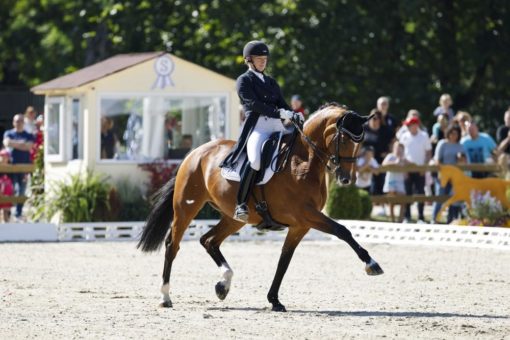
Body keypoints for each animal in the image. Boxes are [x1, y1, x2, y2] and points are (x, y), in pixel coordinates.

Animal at [137, 104, 384, 314]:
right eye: (344, 139)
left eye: (360, 142)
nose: (345, 178)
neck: (303, 162)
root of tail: (194, 153)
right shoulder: (307, 215)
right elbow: (343, 230)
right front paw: (372, 264)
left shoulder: (301, 225)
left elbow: (284, 260)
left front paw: (274, 300)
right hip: (186, 208)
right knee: (173, 245)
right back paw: (165, 297)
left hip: (234, 218)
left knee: (209, 240)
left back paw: (223, 284)